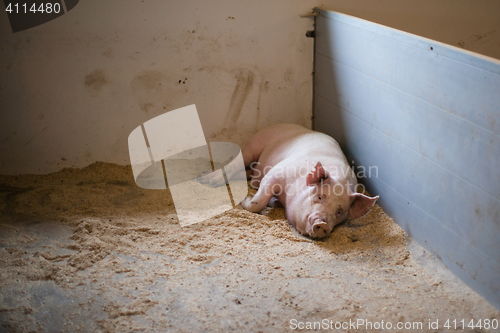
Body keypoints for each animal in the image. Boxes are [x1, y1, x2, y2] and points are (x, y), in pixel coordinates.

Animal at [240, 123, 376, 237]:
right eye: (319, 197)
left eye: (339, 212)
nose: (323, 224)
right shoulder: (275, 173)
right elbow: (258, 201)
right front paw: (247, 198)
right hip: (252, 146)